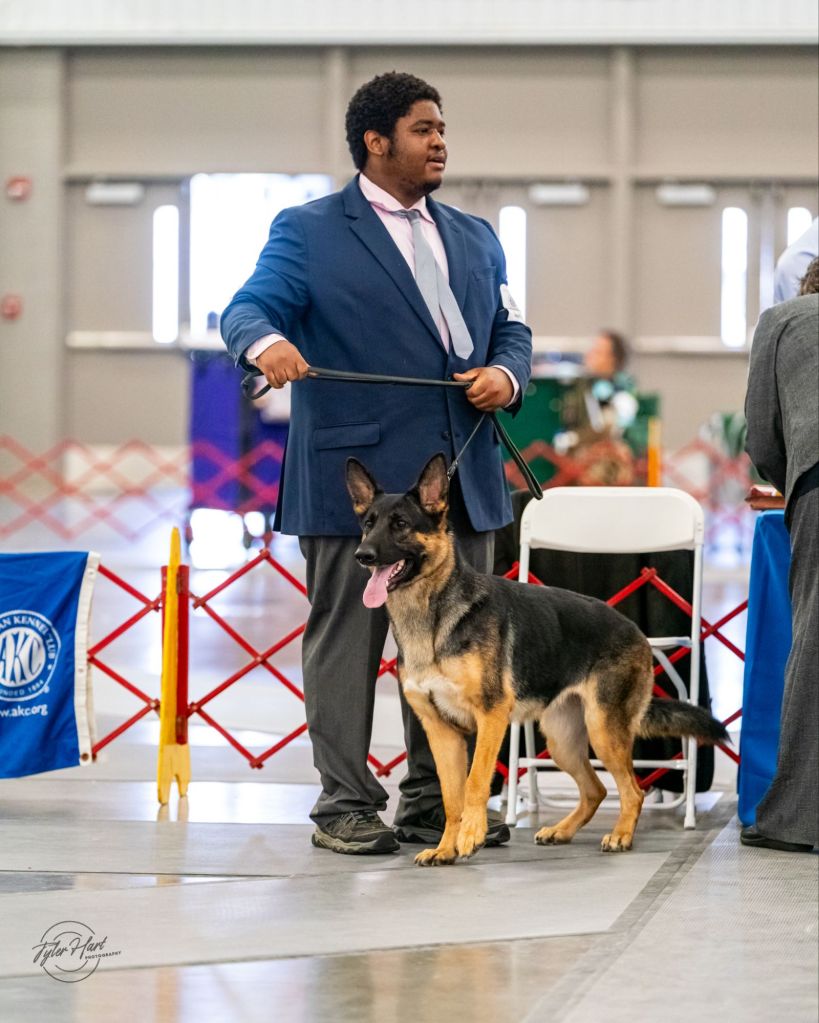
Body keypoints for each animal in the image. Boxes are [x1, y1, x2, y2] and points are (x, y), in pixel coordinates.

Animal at [346, 453, 728, 867]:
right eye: (367, 525)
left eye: (400, 524)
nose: (362, 556)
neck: (433, 616)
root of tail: (635, 631)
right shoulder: (441, 732)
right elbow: (451, 797)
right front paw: (446, 847)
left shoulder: (491, 717)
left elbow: (475, 783)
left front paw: (471, 836)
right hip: (562, 740)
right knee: (595, 789)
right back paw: (562, 830)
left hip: (602, 730)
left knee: (633, 790)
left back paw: (621, 836)